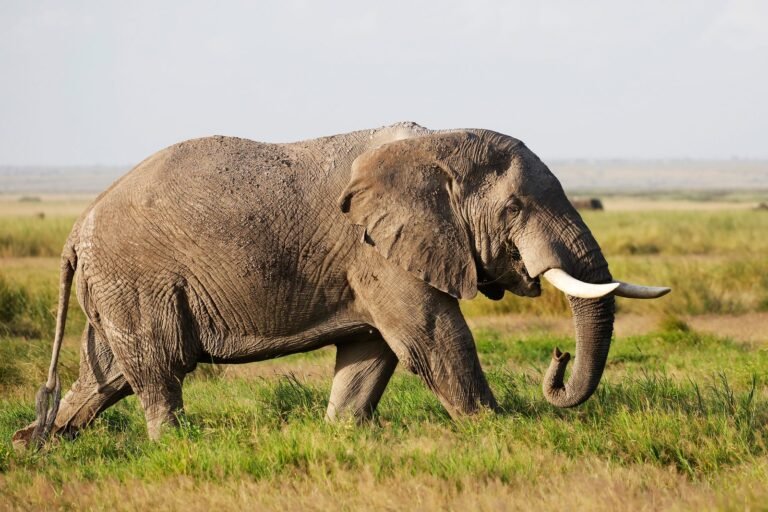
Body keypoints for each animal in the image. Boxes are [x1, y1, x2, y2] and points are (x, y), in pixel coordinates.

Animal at [13, 122, 669, 448]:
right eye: (515, 208)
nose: (556, 360)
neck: (434, 145)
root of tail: (76, 230)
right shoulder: (376, 251)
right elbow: (433, 338)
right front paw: (498, 430)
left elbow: (371, 352)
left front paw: (342, 435)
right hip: (135, 277)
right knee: (156, 368)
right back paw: (175, 447)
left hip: (116, 286)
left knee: (107, 375)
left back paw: (35, 444)